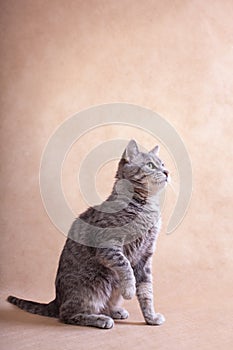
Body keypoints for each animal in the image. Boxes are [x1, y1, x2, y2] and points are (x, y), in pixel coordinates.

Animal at [7, 139, 169, 328]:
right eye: (150, 165)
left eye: (163, 164)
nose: (167, 172)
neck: (146, 207)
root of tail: (56, 300)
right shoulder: (109, 246)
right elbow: (125, 266)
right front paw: (129, 288)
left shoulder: (145, 257)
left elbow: (146, 292)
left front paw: (151, 317)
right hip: (94, 285)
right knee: (67, 315)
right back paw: (99, 319)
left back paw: (114, 311)